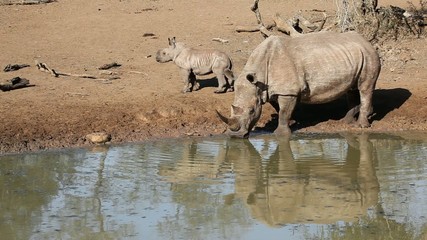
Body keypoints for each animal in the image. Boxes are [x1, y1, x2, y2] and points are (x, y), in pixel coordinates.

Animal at [219, 31, 382, 138]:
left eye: (252, 111)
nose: (235, 136)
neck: (259, 78)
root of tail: (366, 41)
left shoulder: (288, 91)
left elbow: (284, 111)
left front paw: (281, 133)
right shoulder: (270, 90)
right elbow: (280, 109)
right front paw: (292, 120)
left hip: (369, 56)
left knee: (365, 88)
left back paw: (361, 126)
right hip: (355, 55)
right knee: (352, 89)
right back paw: (347, 122)